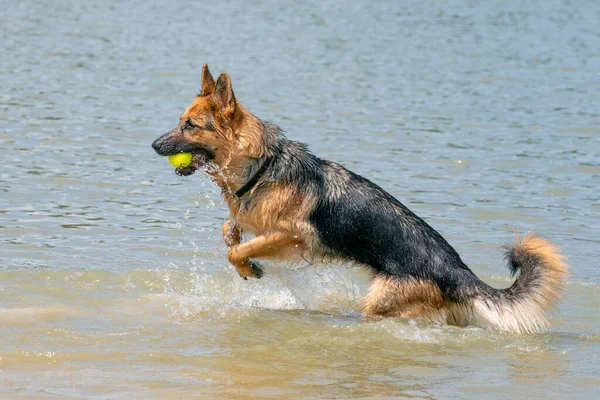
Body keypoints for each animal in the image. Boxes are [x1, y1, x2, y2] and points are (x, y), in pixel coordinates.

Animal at [152, 65, 568, 332]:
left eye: (189, 126)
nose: (153, 145)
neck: (262, 166)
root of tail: (457, 271)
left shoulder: (293, 236)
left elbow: (236, 249)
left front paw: (248, 266)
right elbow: (230, 231)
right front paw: (243, 256)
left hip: (380, 301)